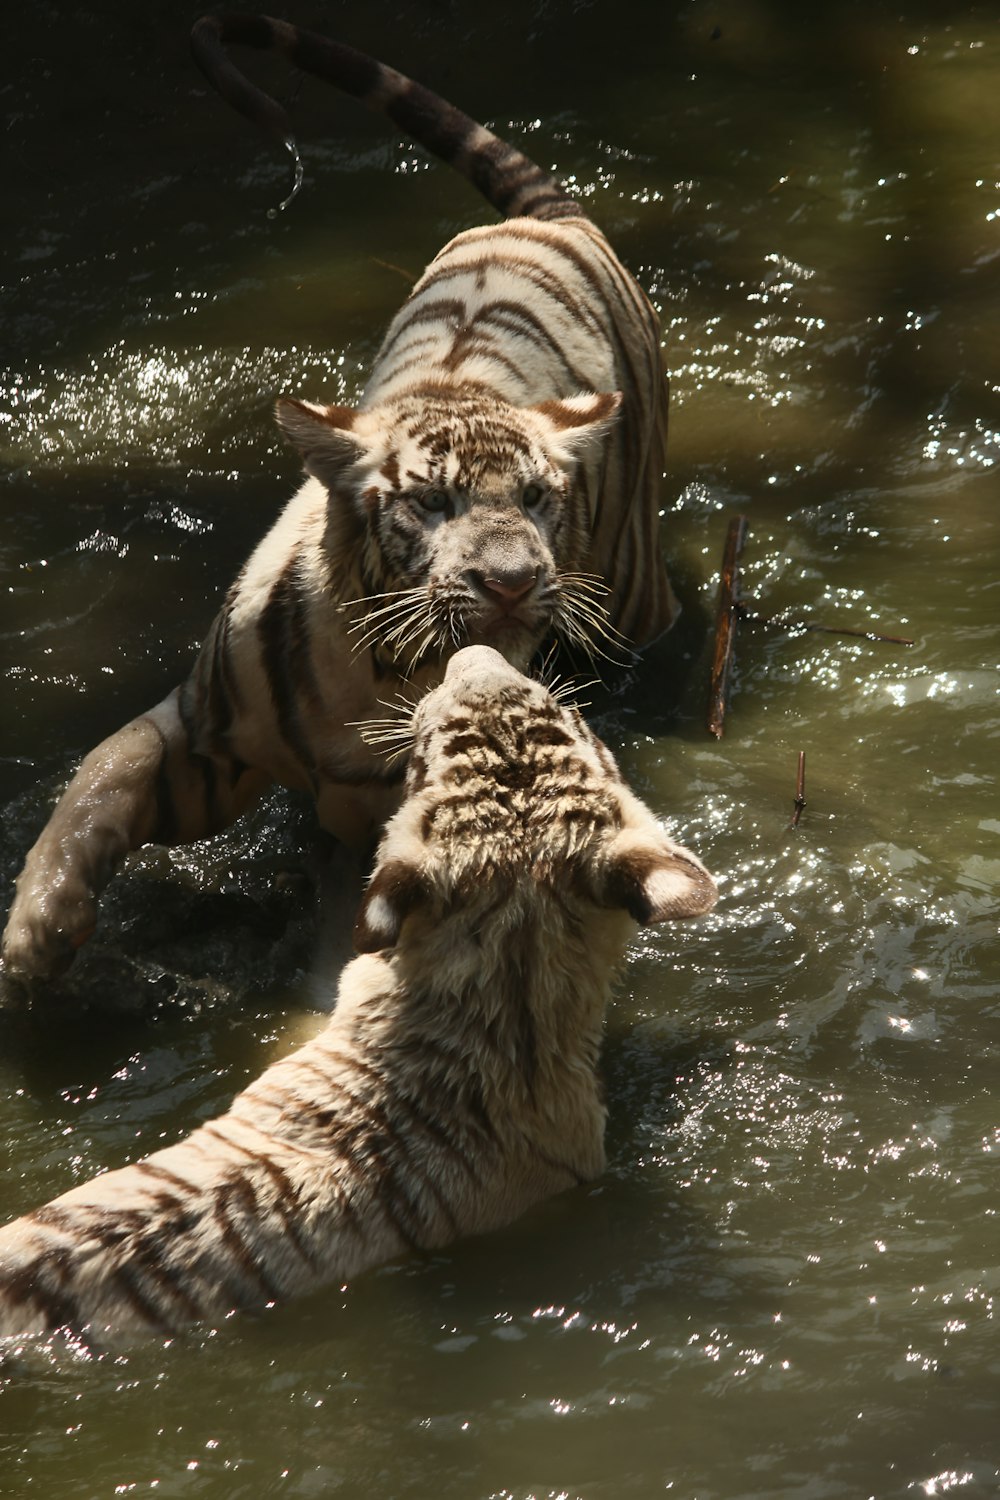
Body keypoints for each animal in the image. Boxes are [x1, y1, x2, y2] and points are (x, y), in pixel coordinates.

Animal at [0, 20, 680, 996]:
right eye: (432, 501)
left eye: (538, 499)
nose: (513, 582)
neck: (378, 669)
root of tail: (551, 220)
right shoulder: (200, 740)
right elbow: (100, 774)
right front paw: (38, 931)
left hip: (630, 588)